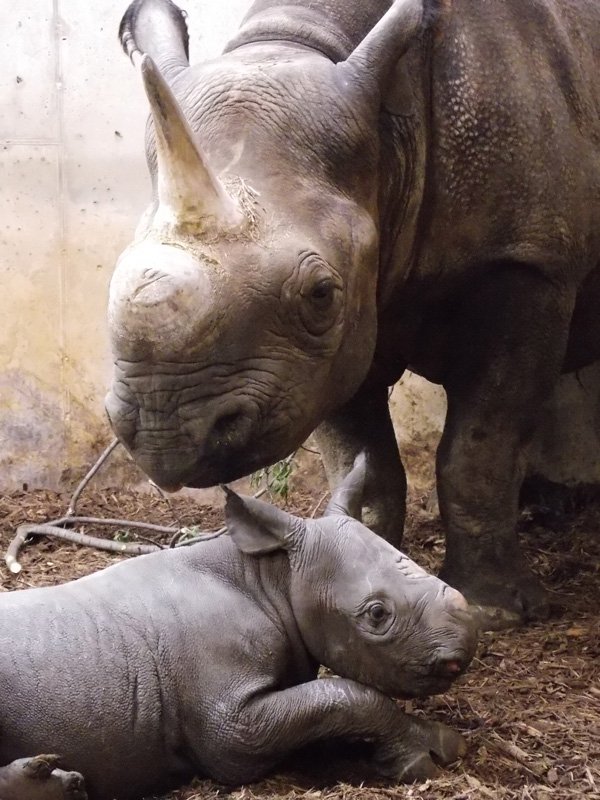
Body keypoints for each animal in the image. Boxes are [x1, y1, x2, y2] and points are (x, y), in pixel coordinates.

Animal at [0, 462, 476, 800]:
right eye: (377, 614)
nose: (463, 649)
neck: (274, 577)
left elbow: (331, 707)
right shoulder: (231, 728)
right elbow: (349, 696)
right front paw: (428, 757)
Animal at [106, 0, 600, 629]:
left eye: (320, 294)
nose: (163, 432)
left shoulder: (527, 262)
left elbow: (479, 446)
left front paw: (495, 612)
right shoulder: (326, 351)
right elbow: (359, 456)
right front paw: (361, 559)